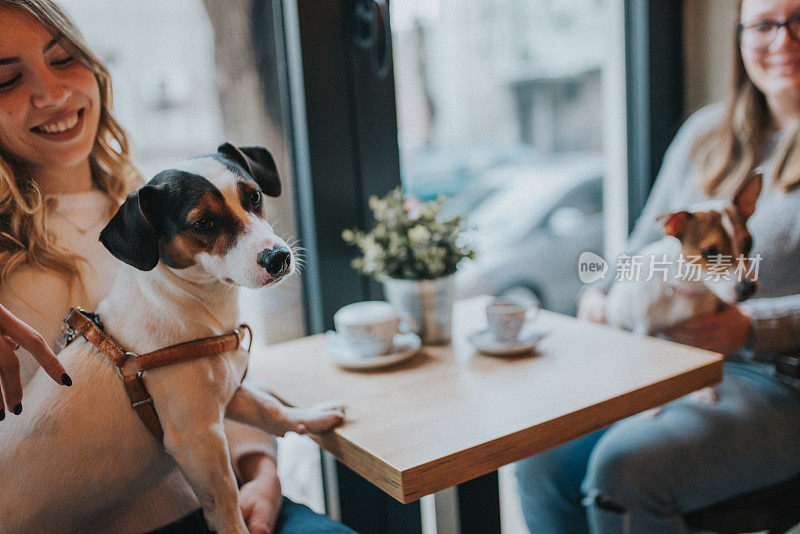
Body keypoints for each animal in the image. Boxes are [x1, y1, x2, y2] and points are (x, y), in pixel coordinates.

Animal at [0, 144, 342, 532]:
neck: (192, 306)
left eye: (254, 197)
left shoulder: (227, 396)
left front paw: (312, 418)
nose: (279, 257)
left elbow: (269, 409)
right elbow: (226, 498)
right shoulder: (198, 439)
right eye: (203, 223)